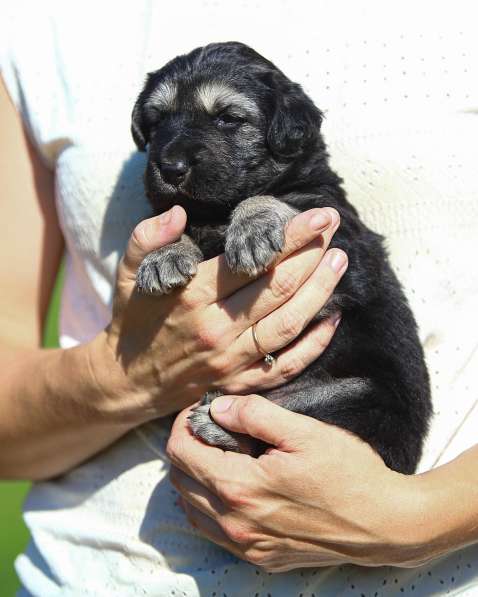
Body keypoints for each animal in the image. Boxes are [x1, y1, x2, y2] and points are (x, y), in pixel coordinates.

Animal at [132, 40, 434, 474]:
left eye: (228, 119)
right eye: (157, 121)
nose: (170, 167)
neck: (217, 211)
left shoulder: (346, 255)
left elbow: (276, 198)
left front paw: (253, 227)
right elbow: (174, 218)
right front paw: (163, 254)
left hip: (351, 397)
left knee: (273, 420)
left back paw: (219, 423)